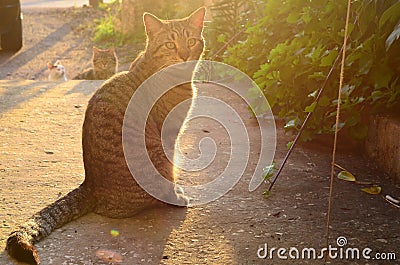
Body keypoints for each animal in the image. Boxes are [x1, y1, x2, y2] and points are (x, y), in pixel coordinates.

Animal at [6, 7, 206, 262]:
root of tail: (90, 186)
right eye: (170, 45)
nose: (183, 54)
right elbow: (171, 173)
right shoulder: (169, 136)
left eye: (191, 42)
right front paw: (176, 195)